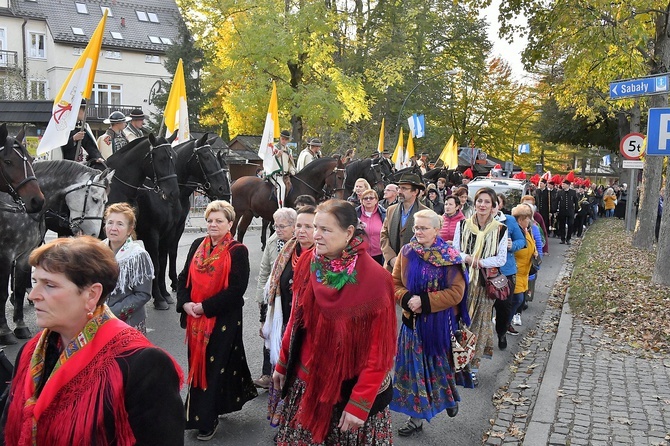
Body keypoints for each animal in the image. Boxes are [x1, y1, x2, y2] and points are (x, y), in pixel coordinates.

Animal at [104, 134, 180, 312]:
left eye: (175, 158)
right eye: (161, 159)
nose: (174, 193)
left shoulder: (167, 234)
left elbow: (161, 262)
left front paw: (163, 295)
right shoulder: (152, 234)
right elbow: (156, 265)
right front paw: (159, 298)